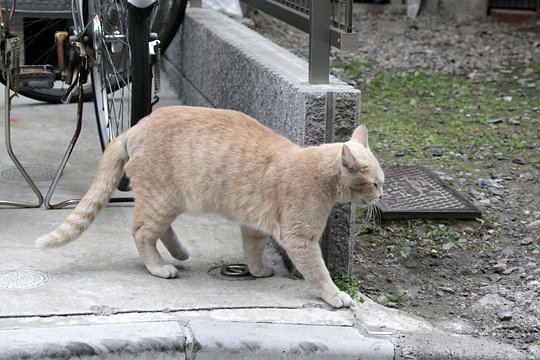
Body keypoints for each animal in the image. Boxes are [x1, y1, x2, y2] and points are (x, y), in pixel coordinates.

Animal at [37, 105, 384, 308]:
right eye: (376, 184)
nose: (381, 196)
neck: (316, 171)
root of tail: (136, 126)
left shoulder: (254, 226)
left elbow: (252, 250)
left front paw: (257, 271)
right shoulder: (300, 239)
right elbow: (318, 272)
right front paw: (335, 295)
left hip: (168, 201)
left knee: (158, 229)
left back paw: (179, 253)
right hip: (163, 199)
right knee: (141, 232)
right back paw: (159, 266)